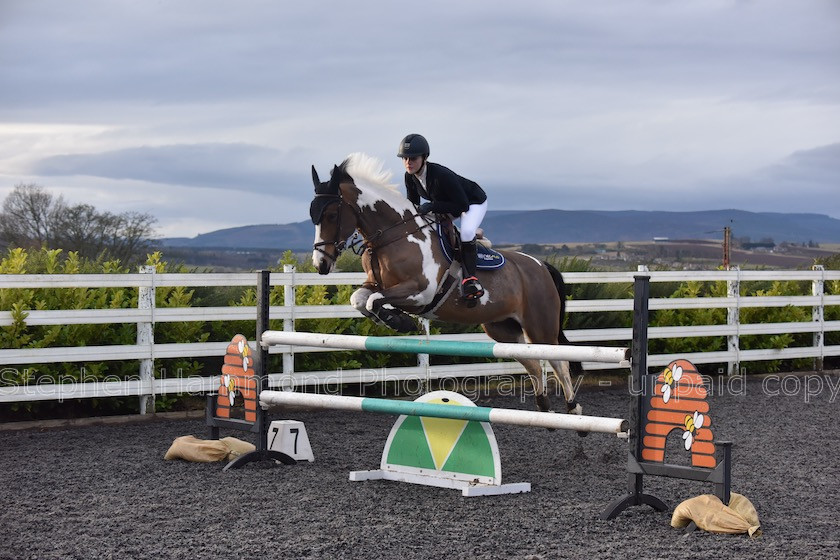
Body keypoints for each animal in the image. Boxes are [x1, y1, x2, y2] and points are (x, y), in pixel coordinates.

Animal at [308, 153, 584, 416]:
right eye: (313, 216)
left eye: (331, 215)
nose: (320, 264)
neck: (394, 235)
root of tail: (541, 266)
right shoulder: (375, 283)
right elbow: (360, 299)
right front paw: (391, 319)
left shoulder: (421, 291)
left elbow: (375, 300)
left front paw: (400, 321)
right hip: (503, 329)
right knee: (533, 362)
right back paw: (544, 407)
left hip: (540, 326)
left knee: (559, 362)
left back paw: (573, 409)